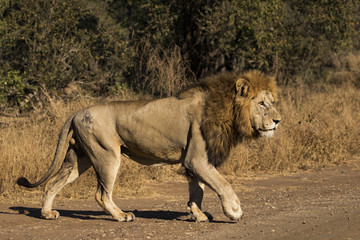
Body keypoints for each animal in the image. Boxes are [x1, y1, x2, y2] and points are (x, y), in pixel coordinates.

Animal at [16, 70, 282, 222]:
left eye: (271, 102)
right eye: (262, 103)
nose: (278, 121)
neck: (227, 110)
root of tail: (78, 112)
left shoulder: (194, 161)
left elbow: (198, 189)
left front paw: (197, 214)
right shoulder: (197, 159)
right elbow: (222, 184)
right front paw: (234, 210)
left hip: (79, 158)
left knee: (52, 184)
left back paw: (47, 213)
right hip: (107, 156)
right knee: (101, 194)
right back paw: (122, 216)